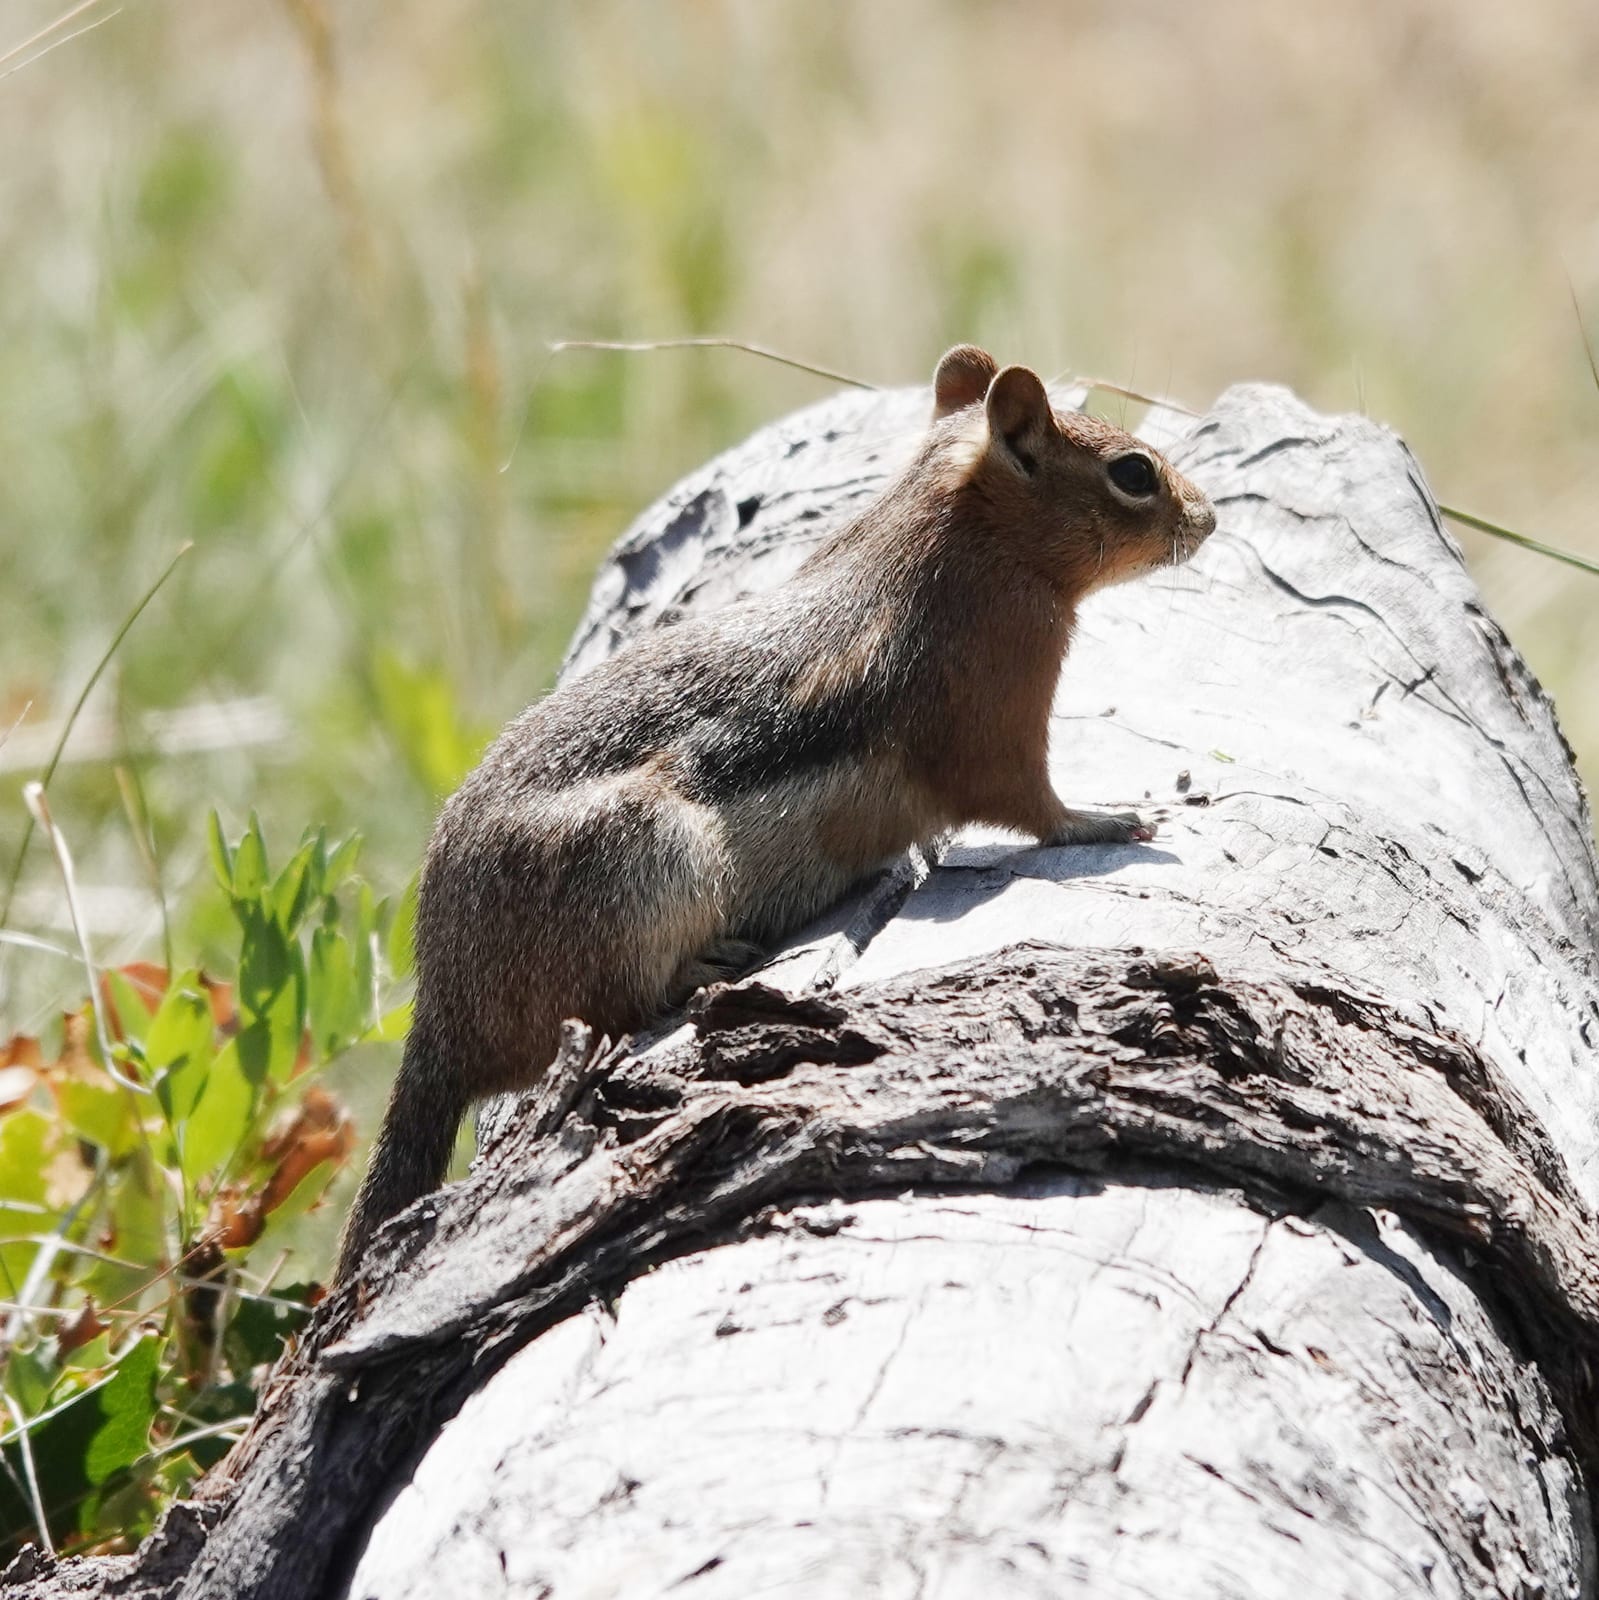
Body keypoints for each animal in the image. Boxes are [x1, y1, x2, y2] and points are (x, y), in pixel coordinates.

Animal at [333, 345, 1216, 1284]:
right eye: (1133, 473)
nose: (1208, 517)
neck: (950, 534)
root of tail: (443, 1015)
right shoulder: (994, 708)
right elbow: (1030, 803)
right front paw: (1108, 821)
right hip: (646, 855)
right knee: (612, 1005)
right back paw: (701, 965)